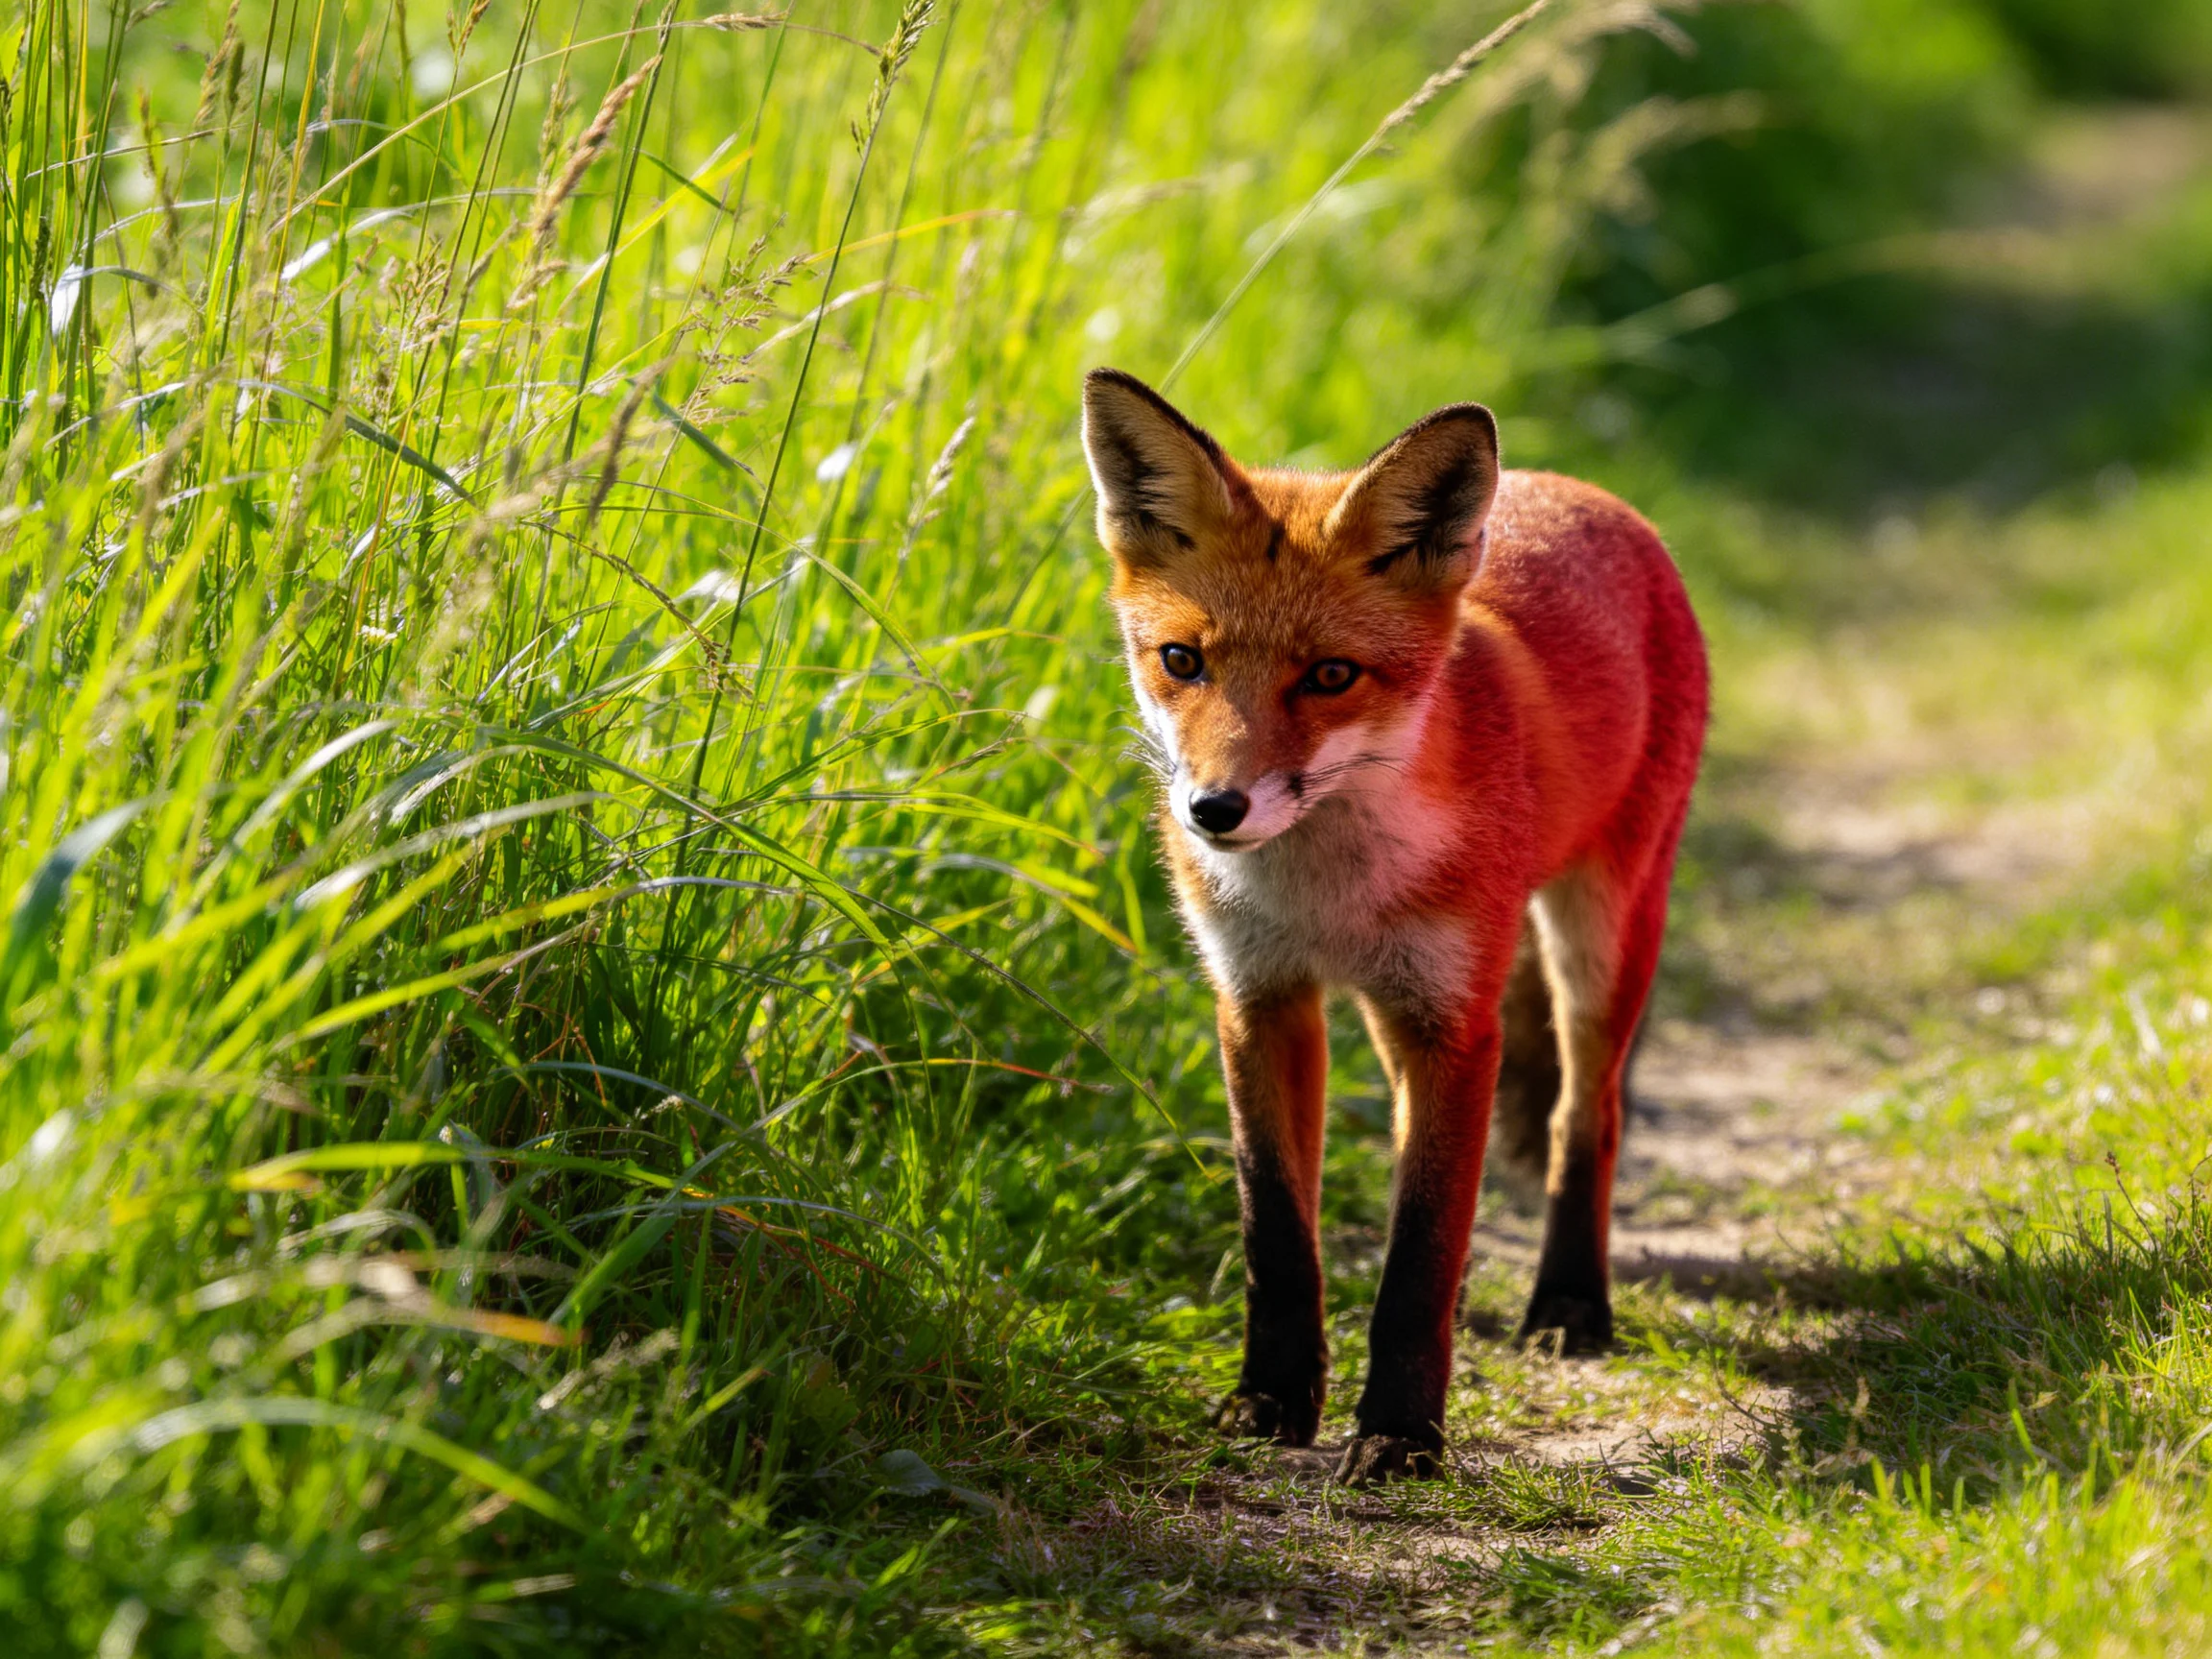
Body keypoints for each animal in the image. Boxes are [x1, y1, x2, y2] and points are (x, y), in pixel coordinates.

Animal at [1079, 368, 1708, 1483]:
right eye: (1182, 661)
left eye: (1331, 675)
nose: (1214, 810)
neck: (1327, 894)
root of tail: (1580, 489)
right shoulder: (1261, 1001)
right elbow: (1277, 1234)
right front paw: (1270, 1399)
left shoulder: (1453, 1028)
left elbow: (1420, 1256)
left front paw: (1402, 1434)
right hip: (1397, 1002)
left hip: (1600, 936)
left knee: (1584, 1114)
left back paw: (1569, 1303)